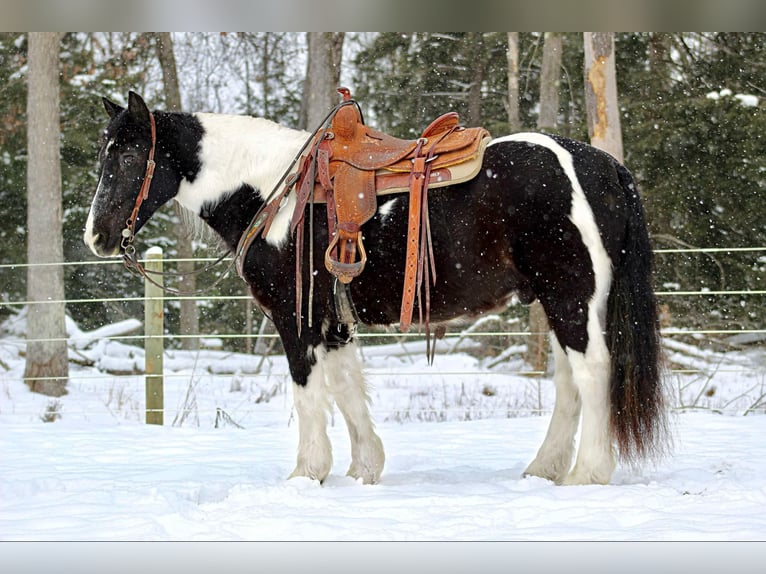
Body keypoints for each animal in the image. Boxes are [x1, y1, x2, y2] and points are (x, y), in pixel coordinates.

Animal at [84, 92, 668, 488]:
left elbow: (309, 393)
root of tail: (603, 165)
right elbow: (346, 389)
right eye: (103, 155)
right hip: (556, 301)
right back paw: (544, 468)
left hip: (572, 296)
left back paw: (587, 473)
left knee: (593, 372)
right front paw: (365, 467)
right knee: (570, 382)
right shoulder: (334, 323)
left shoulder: (297, 319)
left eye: (129, 157)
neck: (274, 192)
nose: (96, 235)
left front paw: (307, 473)